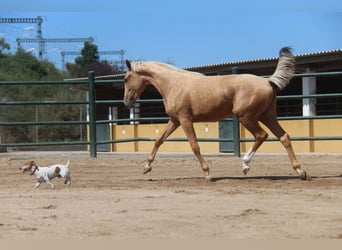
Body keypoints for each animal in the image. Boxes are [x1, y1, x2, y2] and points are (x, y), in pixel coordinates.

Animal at [124, 47, 308, 180]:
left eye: (126, 78)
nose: (126, 102)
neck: (173, 84)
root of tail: (268, 81)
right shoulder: (175, 120)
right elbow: (159, 140)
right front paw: (146, 167)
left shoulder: (185, 119)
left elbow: (194, 145)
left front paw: (207, 173)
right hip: (267, 116)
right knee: (284, 137)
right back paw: (300, 171)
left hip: (247, 117)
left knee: (261, 135)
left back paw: (245, 165)